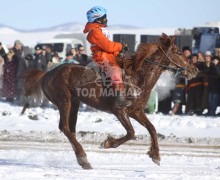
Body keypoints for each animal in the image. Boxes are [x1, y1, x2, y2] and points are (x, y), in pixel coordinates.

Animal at [20, 33, 199, 169]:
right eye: (177, 51)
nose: (194, 69)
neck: (137, 77)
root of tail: (46, 74)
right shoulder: (119, 111)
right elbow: (131, 133)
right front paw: (107, 143)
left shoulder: (136, 111)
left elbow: (152, 128)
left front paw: (155, 155)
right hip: (64, 101)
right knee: (65, 127)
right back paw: (83, 157)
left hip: (75, 103)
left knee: (69, 129)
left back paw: (81, 158)